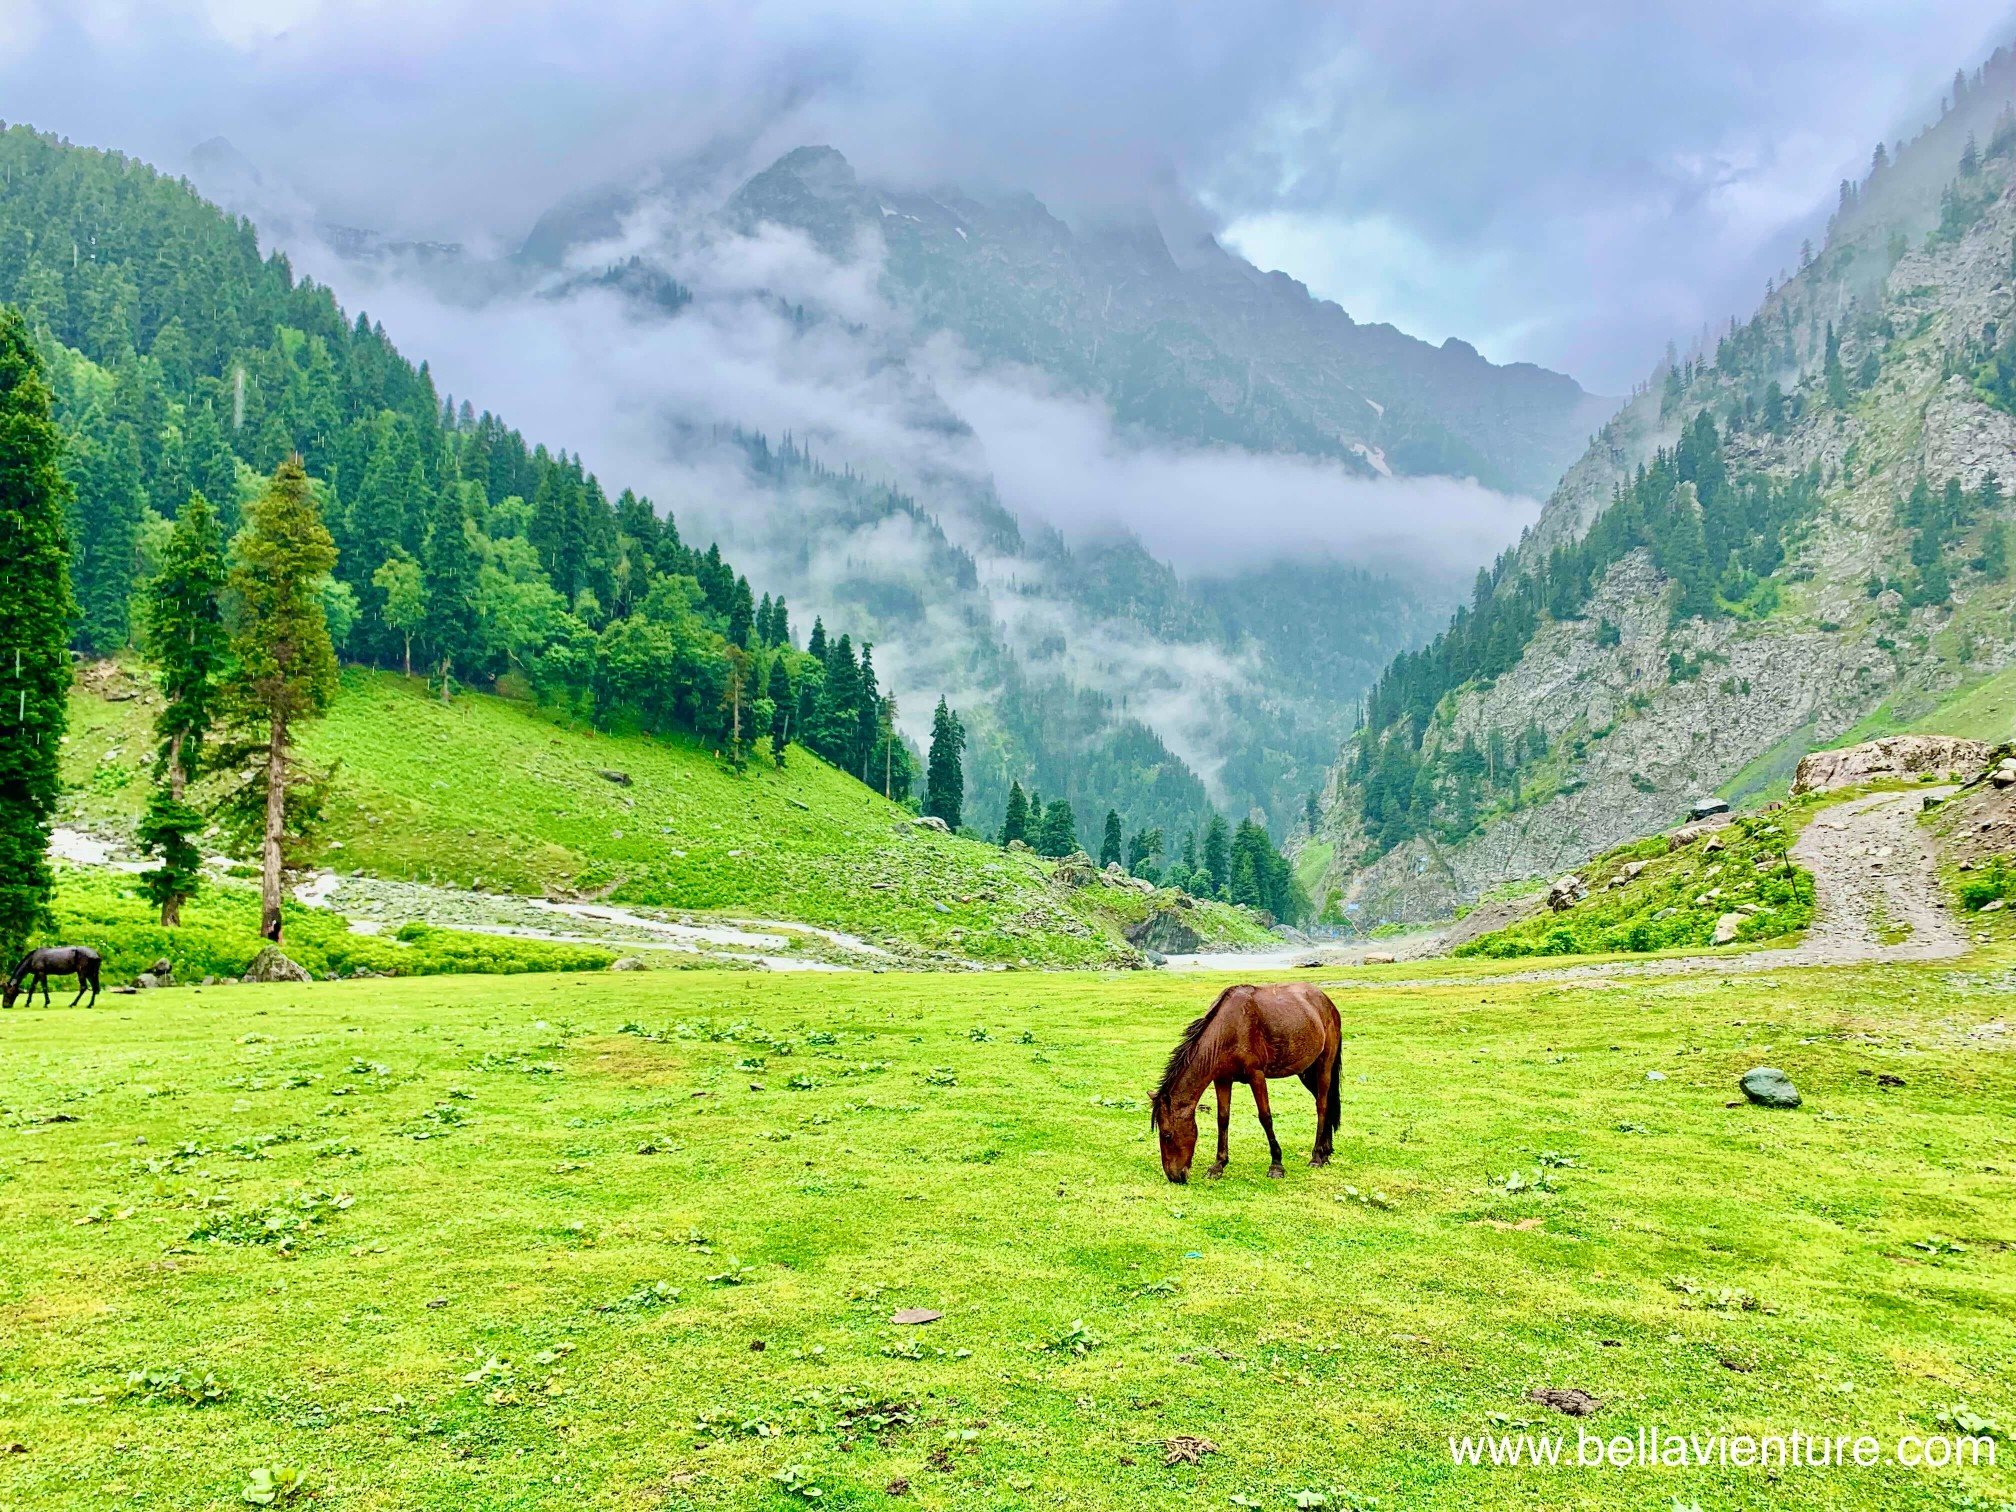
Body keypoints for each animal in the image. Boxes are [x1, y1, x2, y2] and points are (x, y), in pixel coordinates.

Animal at [1149, 982, 1342, 1183]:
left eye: (1167, 1134)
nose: (1174, 1176)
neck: (1228, 1028)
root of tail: (1327, 1001)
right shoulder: (1222, 1079)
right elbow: (1223, 1118)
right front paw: (1218, 1165)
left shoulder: (1256, 1076)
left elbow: (1265, 1117)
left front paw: (1276, 1165)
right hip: (1306, 1072)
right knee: (1327, 1103)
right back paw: (1326, 1152)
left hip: (1323, 1066)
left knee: (1322, 1105)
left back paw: (1316, 1156)